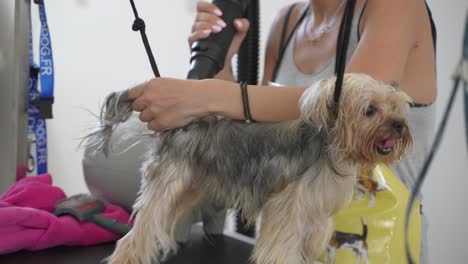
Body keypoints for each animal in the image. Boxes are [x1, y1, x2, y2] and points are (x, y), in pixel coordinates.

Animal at [86, 72, 412, 264]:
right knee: (135, 236)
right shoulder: (286, 211)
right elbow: (281, 250)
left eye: (397, 107)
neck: (330, 148)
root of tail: (176, 126)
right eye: (369, 110)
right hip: (167, 185)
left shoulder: (316, 218)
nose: (399, 125)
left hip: (190, 190)